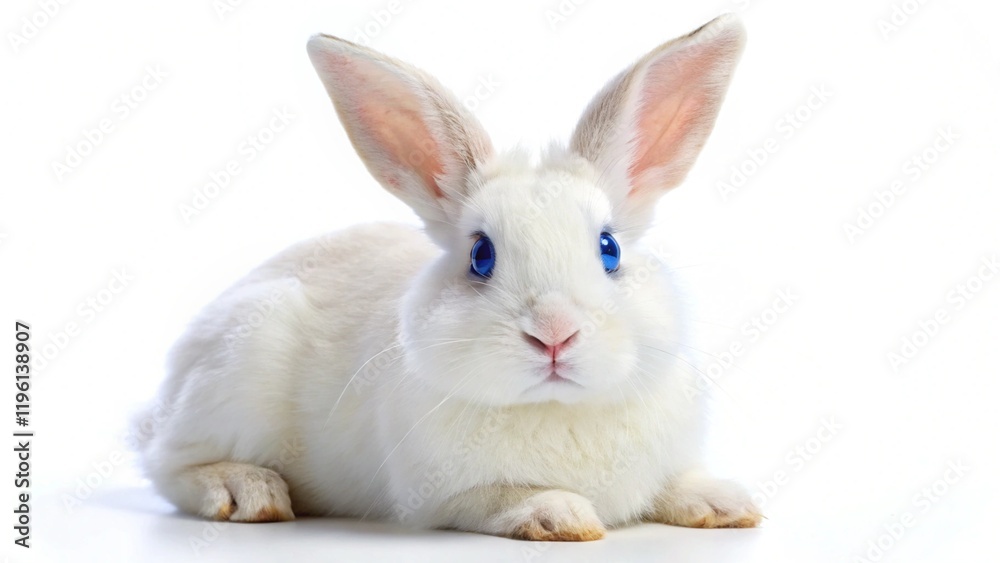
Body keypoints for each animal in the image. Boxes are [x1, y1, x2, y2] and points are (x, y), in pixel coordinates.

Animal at [134, 13, 760, 541]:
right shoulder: (443, 498)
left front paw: (728, 504)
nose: (554, 333)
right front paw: (558, 515)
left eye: (609, 249)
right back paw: (248, 490)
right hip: (235, 369)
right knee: (169, 463)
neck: (557, 406)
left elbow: (677, 483)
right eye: (481, 255)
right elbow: (500, 498)